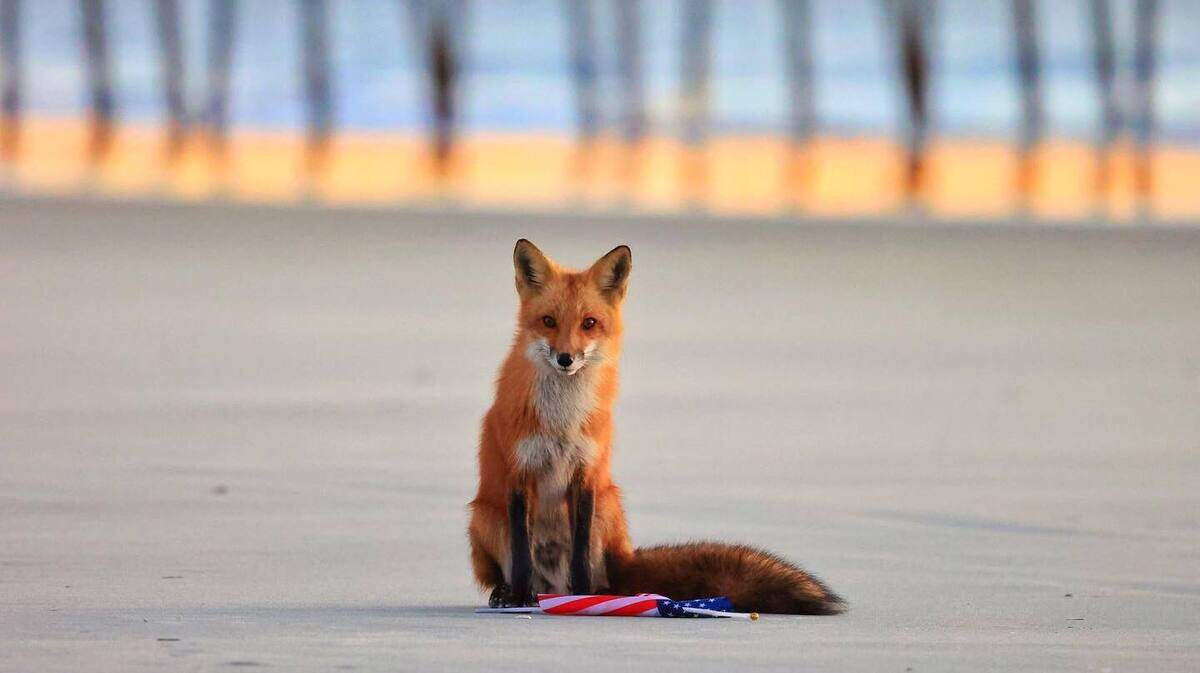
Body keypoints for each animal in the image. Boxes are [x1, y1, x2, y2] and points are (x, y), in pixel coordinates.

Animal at [467, 239, 843, 615]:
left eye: (589, 323)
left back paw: (599, 592)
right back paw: (509, 591)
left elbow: (579, 552)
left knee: (604, 575)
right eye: (548, 321)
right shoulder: (519, 473)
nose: (565, 359)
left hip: (607, 504)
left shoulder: (586, 474)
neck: (563, 420)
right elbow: (522, 553)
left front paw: (583, 596)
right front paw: (520, 595)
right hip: (487, 518)